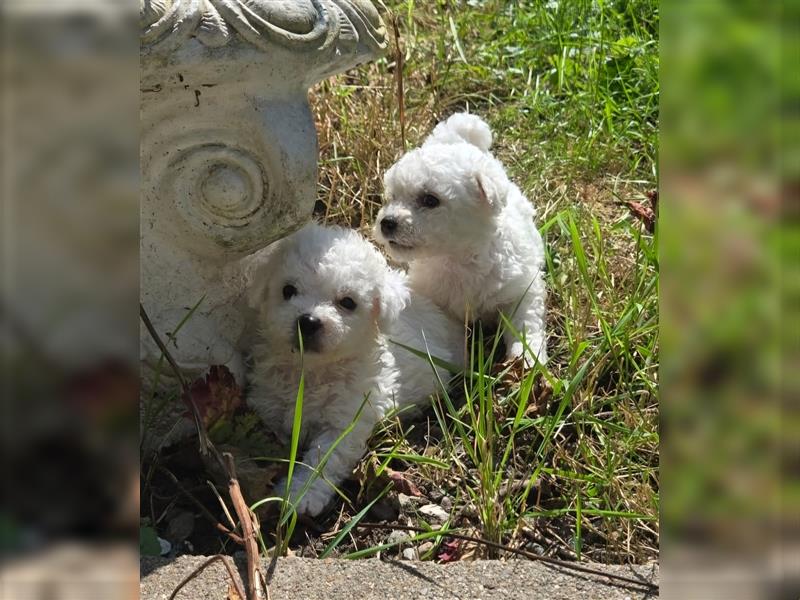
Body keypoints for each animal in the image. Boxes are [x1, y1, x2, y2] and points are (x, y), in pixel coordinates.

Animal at [247, 223, 466, 516]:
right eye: (288, 290)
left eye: (348, 302)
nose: (308, 321)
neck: (312, 371)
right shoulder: (269, 405)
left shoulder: (347, 419)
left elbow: (324, 460)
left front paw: (301, 496)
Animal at [372, 113, 548, 366]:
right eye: (392, 197)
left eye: (430, 200)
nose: (387, 223)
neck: (459, 258)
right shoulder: (439, 305)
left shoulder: (521, 290)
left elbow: (525, 326)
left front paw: (527, 361)